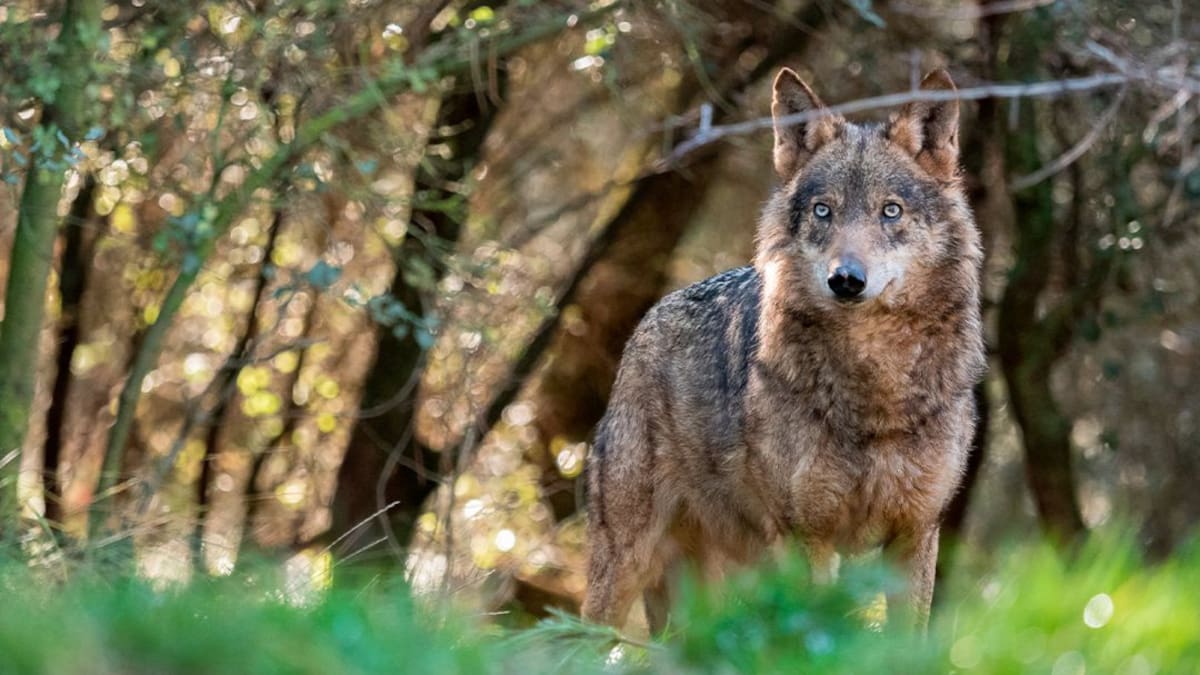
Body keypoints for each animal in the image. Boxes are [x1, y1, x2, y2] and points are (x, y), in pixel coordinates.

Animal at [581, 67, 985, 633]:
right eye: (823, 211)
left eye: (891, 211)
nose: (846, 280)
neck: (875, 393)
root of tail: (650, 317)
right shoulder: (806, 537)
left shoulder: (916, 534)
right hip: (627, 562)